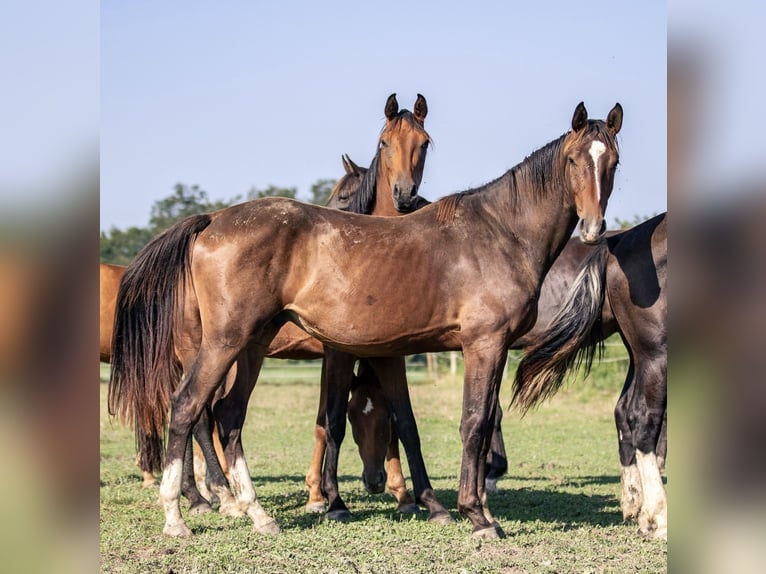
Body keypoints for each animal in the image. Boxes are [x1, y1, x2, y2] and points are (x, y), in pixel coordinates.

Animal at [109, 100, 624, 540]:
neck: (499, 231)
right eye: (574, 160)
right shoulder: (483, 344)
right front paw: (476, 516)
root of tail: (213, 220)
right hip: (223, 343)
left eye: (614, 163)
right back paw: (180, 515)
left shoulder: (468, 351)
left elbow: (451, 424)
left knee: (228, 416)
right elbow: (474, 422)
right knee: (187, 407)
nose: (594, 229)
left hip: (252, 344)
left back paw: (257, 514)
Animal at [512, 212, 668, 540]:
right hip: (655, 353)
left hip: (641, 354)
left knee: (627, 412)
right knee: (644, 419)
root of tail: (618, 244)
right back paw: (656, 517)